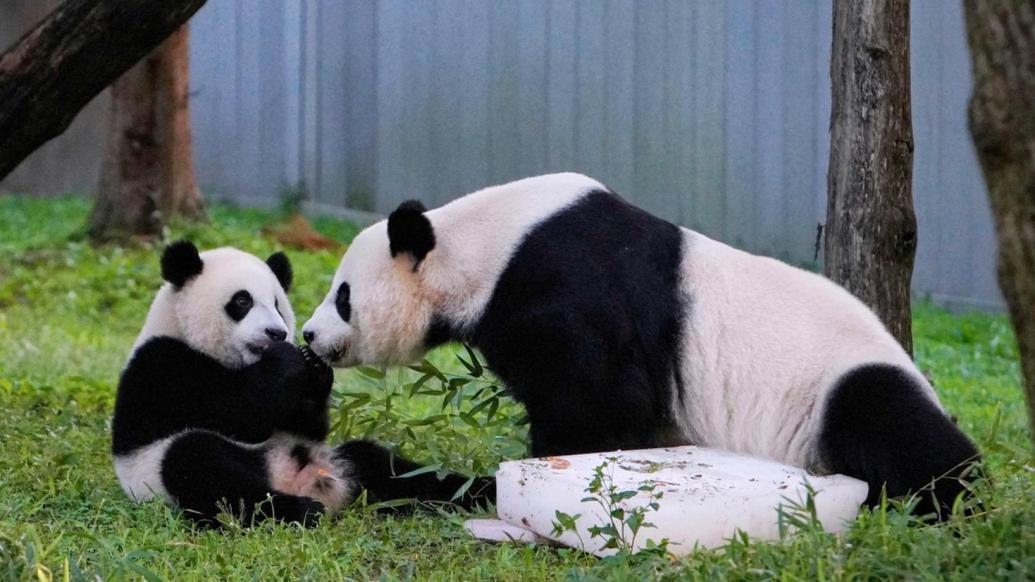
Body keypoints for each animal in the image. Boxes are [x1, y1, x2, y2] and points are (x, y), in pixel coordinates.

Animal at [111, 240, 490, 526]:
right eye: (242, 301)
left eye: (278, 304)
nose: (276, 332)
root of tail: (299, 481)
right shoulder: (164, 364)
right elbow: (238, 413)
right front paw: (289, 358)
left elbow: (306, 424)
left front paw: (316, 366)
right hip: (159, 473)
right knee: (201, 466)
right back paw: (300, 511)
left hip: (338, 459)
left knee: (390, 470)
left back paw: (478, 491)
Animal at [302, 170, 981, 515]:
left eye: (343, 295)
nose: (310, 335)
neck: (482, 243)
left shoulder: (563, 287)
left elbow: (600, 407)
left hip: (838, 380)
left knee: (893, 426)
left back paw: (943, 502)